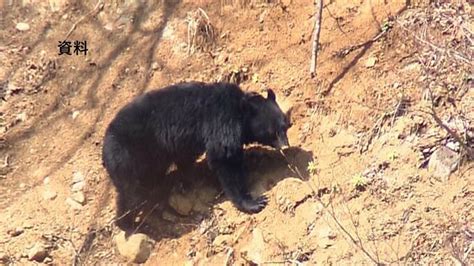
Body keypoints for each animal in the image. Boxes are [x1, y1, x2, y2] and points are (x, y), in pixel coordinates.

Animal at [102, 81, 290, 233]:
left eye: (287, 126)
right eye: (273, 132)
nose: (286, 147)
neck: (240, 111)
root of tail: (105, 149)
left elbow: (188, 160)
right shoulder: (221, 123)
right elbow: (223, 160)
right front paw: (254, 202)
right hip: (129, 159)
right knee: (131, 195)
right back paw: (128, 224)